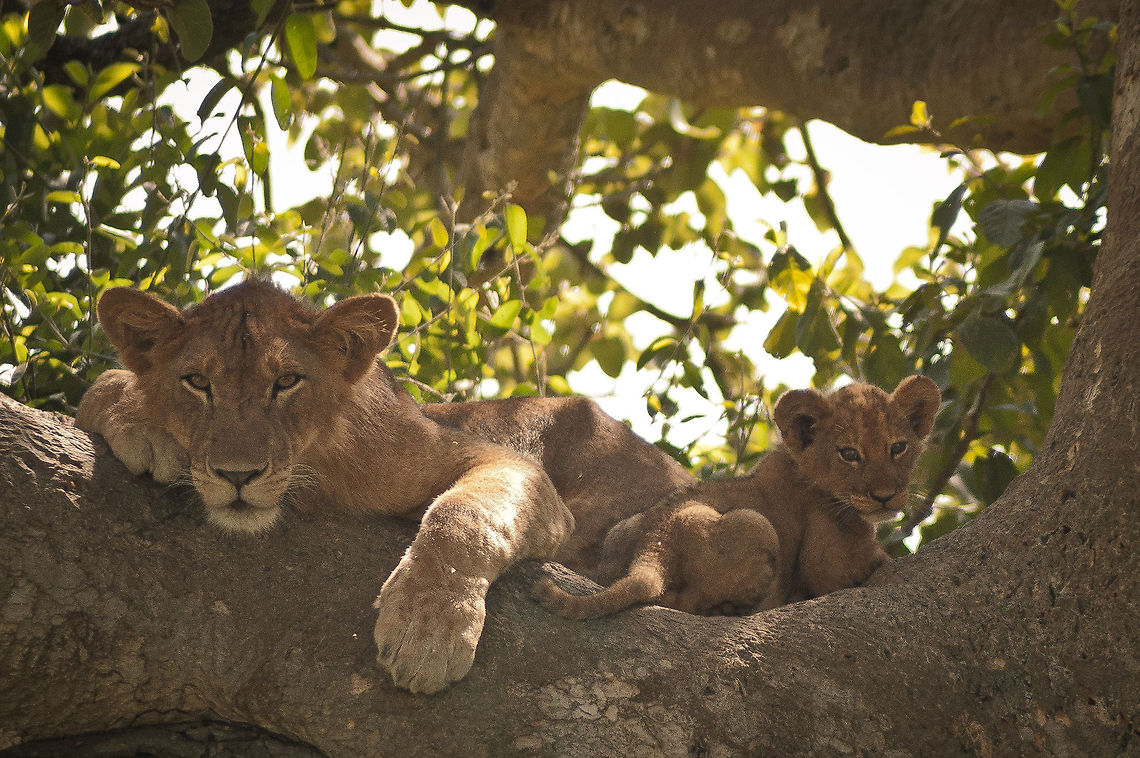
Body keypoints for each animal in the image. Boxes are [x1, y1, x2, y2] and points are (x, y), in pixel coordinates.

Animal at [76, 280, 693, 694]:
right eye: (197, 382)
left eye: (287, 382)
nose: (237, 475)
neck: (314, 475)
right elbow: (103, 383)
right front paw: (142, 426)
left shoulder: (496, 460)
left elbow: (464, 518)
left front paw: (427, 631)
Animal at [536, 376, 941, 619]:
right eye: (849, 453)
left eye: (898, 448)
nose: (886, 497)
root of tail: (654, 547)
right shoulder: (827, 563)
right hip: (756, 524)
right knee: (684, 603)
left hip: (625, 528)